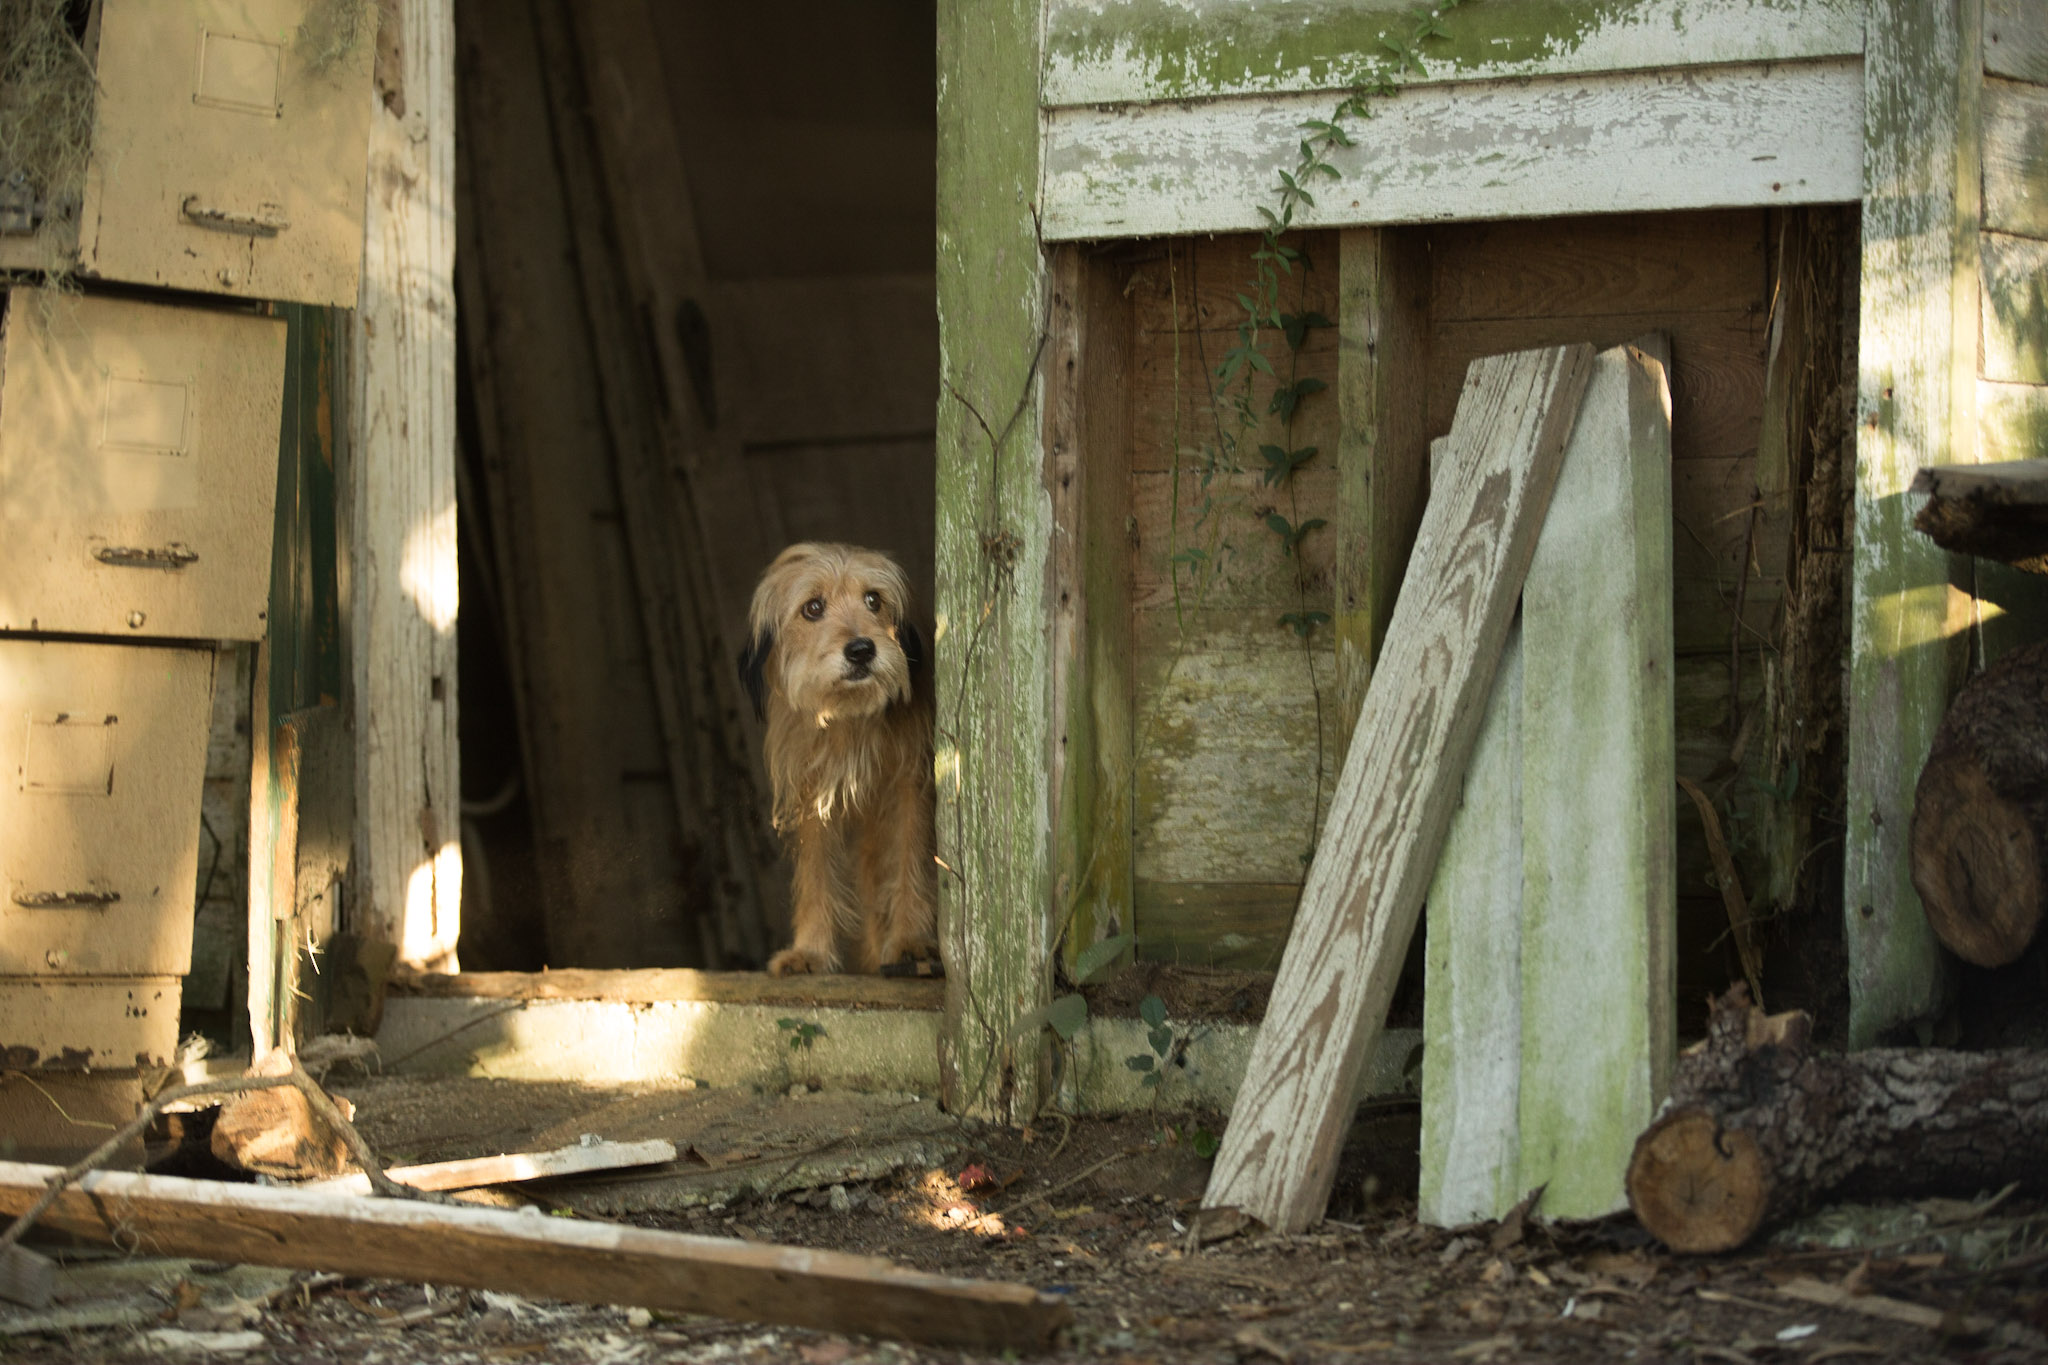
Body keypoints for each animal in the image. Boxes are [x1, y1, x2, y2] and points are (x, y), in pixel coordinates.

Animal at [741, 540, 937, 978]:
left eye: (873, 600)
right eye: (813, 607)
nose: (862, 650)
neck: (849, 718)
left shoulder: (910, 785)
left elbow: (910, 858)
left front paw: (911, 942)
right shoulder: (811, 796)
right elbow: (816, 872)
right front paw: (810, 951)